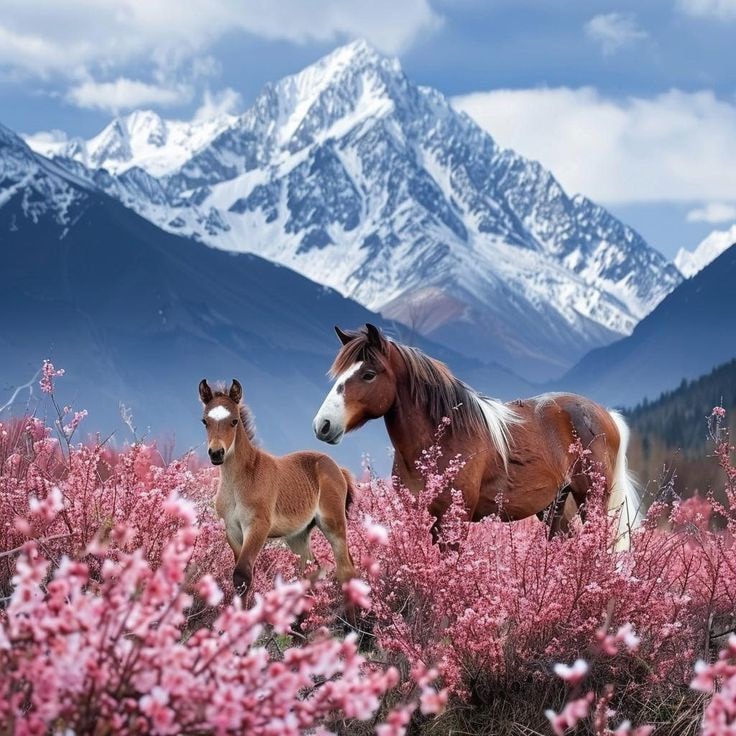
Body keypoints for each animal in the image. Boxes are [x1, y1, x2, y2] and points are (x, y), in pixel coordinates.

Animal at [199, 378, 356, 595]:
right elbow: (241, 576)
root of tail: (338, 468)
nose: (216, 453)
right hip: (298, 535)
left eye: (234, 421)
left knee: (345, 571)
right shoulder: (232, 530)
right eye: (205, 421)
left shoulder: (258, 527)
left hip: (333, 524)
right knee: (311, 570)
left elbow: (242, 574)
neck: (241, 480)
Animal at [312, 324, 640, 548]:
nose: (323, 424)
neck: (441, 440)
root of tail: (605, 414)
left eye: (368, 374)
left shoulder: (454, 520)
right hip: (553, 508)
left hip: (592, 500)